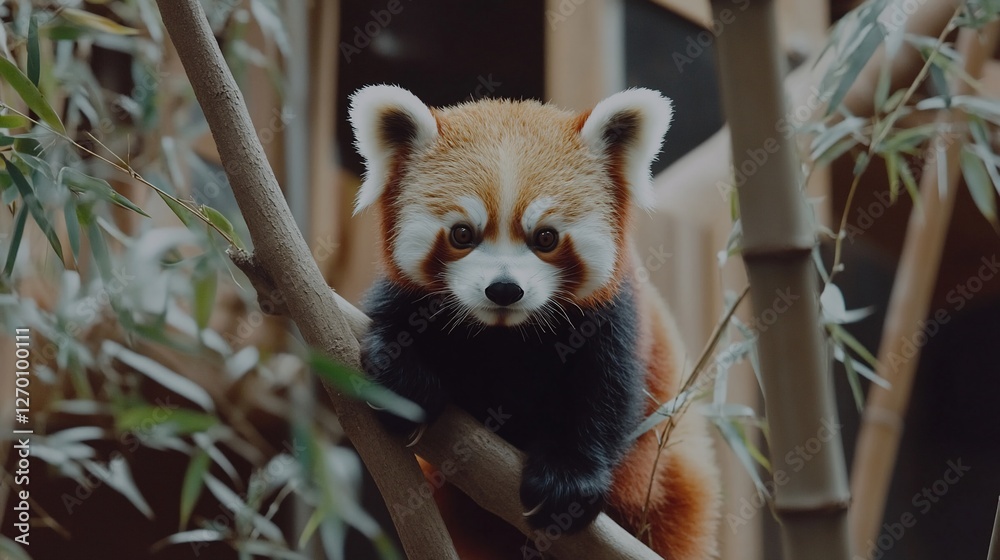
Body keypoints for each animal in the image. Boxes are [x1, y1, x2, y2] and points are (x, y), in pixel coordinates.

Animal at [350, 84, 719, 559]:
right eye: (462, 234)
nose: (504, 289)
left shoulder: (614, 316)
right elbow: (389, 326)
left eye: (545, 237)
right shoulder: (407, 300)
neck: (505, 335)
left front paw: (568, 480)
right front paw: (404, 383)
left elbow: (608, 391)